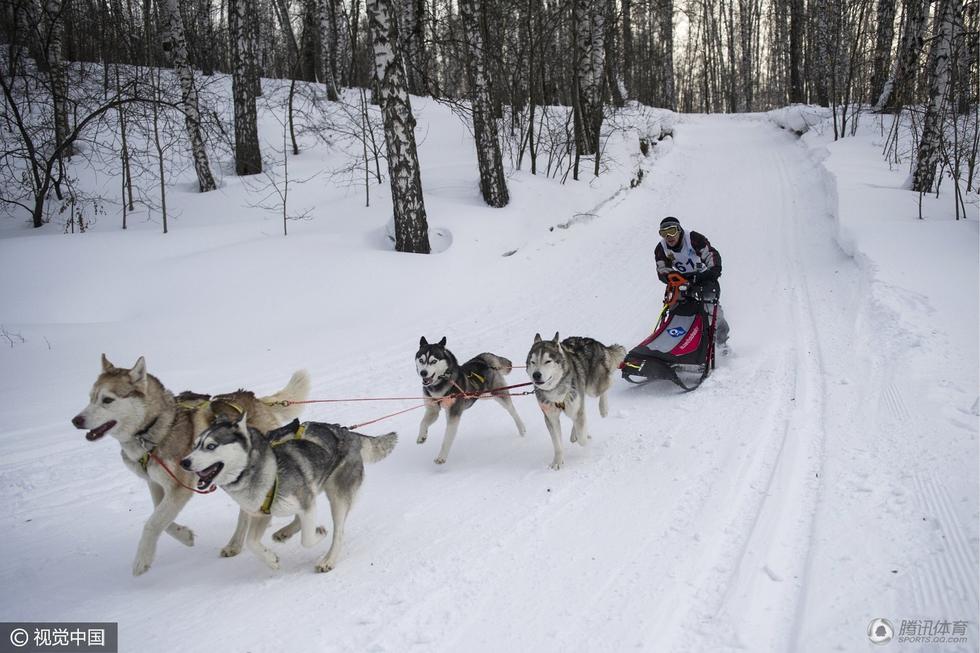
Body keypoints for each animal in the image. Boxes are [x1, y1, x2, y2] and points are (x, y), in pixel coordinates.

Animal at [72, 356, 310, 576]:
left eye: (107, 400)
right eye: (91, 398)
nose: (76, 420)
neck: (158, 427)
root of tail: (257, 401)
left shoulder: (178, 489)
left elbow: (152, 523)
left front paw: (142, 559)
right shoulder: (156, 484)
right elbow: (160, 519)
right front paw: (184, 535)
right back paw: (235, 544)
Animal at [182, 416, 396, 572]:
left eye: (211, 446)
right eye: (195, 445)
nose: (184, 462)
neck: (269, 471)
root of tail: (347, 433)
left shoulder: (305, 503)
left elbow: (307, 539)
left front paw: (319, 532)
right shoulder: (262, 514)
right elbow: (252, 542)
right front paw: (271, 560)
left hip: (337, 497)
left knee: (339, 532)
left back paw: (328, 559)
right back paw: (283, 532)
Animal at [416, 336, 528, 464]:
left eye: (433, 361)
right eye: (421, 360)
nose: (423, 373)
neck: (439, 386)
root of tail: (483, 359)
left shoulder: (454, 414)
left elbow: (447, 438)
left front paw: (441, 457)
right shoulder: (432, 410)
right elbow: (423, 422)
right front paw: (422, 436)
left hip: (499, 394)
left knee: (512, 410)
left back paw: (521, 428)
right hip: (483, 395)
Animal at [528, 332, 628, 468]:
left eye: (548, 361)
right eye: (533, 362)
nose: (536, 375)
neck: (556, 391)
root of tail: (593, 341)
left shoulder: (576, 406)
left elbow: (582, 438)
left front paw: (587, 439)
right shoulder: (551, 417)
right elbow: (557, 444)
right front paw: (557, 462)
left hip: (593, 388)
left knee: (608, 383)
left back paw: (603, 408)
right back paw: (574, 433)